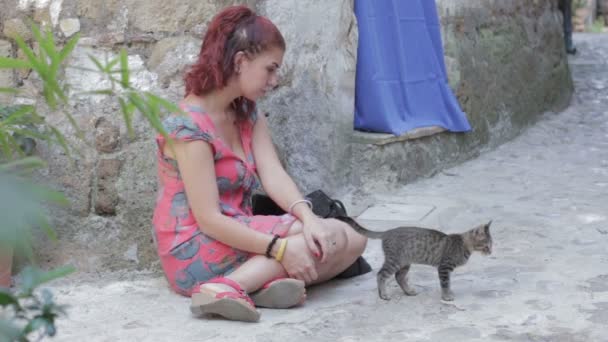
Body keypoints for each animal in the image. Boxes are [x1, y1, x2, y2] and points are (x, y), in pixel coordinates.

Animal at [334, 216, 492, 302]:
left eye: (492, 244)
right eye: (487, 245)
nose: (491, 252)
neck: (463, 244)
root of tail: (387, 232)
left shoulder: (445, 269)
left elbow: (449, 283)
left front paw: (449, 293)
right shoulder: (444, 267)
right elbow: (445, 283)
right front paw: (446, 296)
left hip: (404, 262)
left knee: (398, 277)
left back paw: (408, 291)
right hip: (394, 261)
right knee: (381, 275)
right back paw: (383, 295)